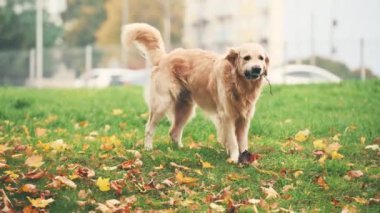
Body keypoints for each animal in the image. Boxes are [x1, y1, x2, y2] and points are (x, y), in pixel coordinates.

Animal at [120, 23, 268, 163]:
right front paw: (234, 158)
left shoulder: (244, 118)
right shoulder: (227, 116)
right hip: (162, 103)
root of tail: (165, 58)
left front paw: (245, 157)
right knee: (150, 128)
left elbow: (242, 141)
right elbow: (233, 140)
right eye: (247, 58)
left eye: (261, 58)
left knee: (173, 132)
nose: (257, 69)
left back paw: (181, 150)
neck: (238, 83)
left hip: (185, 109)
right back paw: (148, 148)